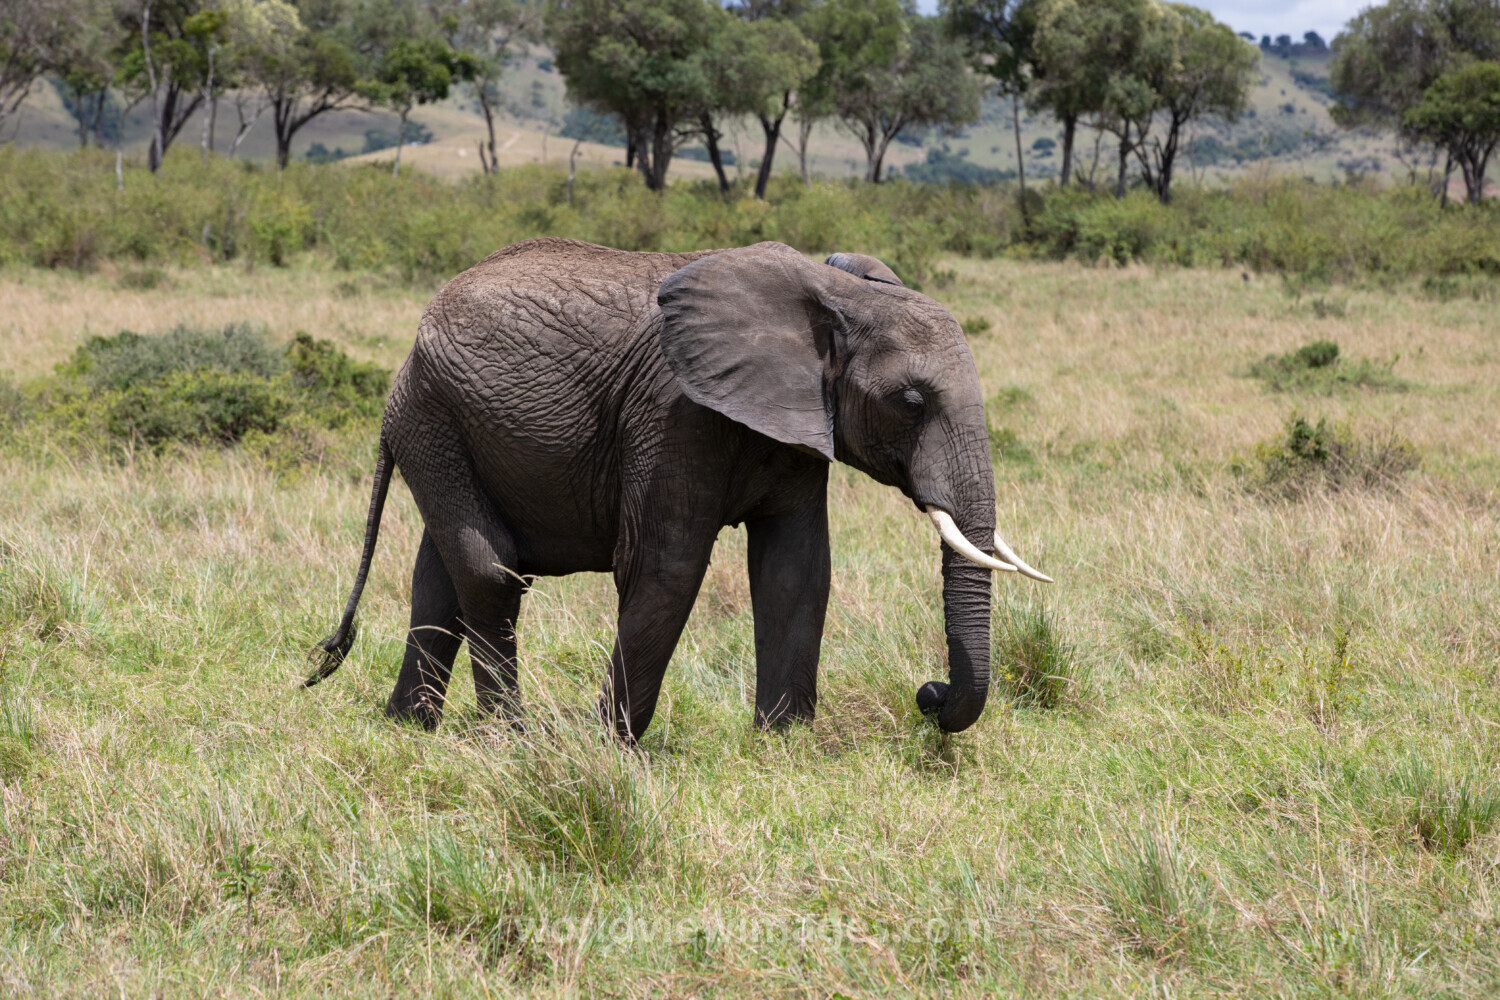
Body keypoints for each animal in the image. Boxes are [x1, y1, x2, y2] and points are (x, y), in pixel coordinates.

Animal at [307, 238, 1050, 740]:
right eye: (912, 402)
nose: (929, 694)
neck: (832, 295)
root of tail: (409, 349)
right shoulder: (673, 415)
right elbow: (665, 567)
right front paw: (610, 746)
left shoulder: (798, 423)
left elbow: (796, 570)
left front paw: (783, 744)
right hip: (431, 414)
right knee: (489, 571)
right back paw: (508, 739)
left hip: (444, 426)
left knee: (439, 574)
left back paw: (409, 726)